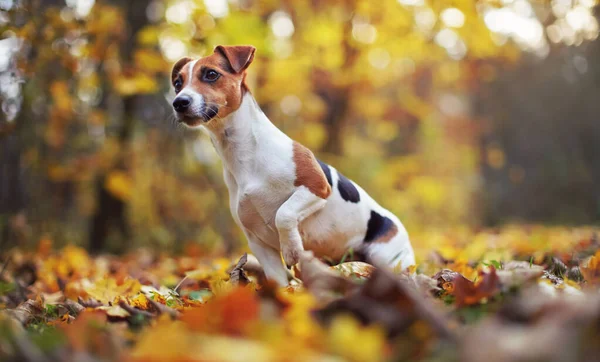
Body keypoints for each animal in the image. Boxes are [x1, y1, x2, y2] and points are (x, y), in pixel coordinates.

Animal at [169, 45, 412, 286]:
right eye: (178, 83)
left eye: (211, 74)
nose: (179, 102)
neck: (244, 153)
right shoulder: (257, 242)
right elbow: (278, 281)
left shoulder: (317, 187)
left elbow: (283, 214)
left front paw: (292, 248)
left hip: (388, 259)